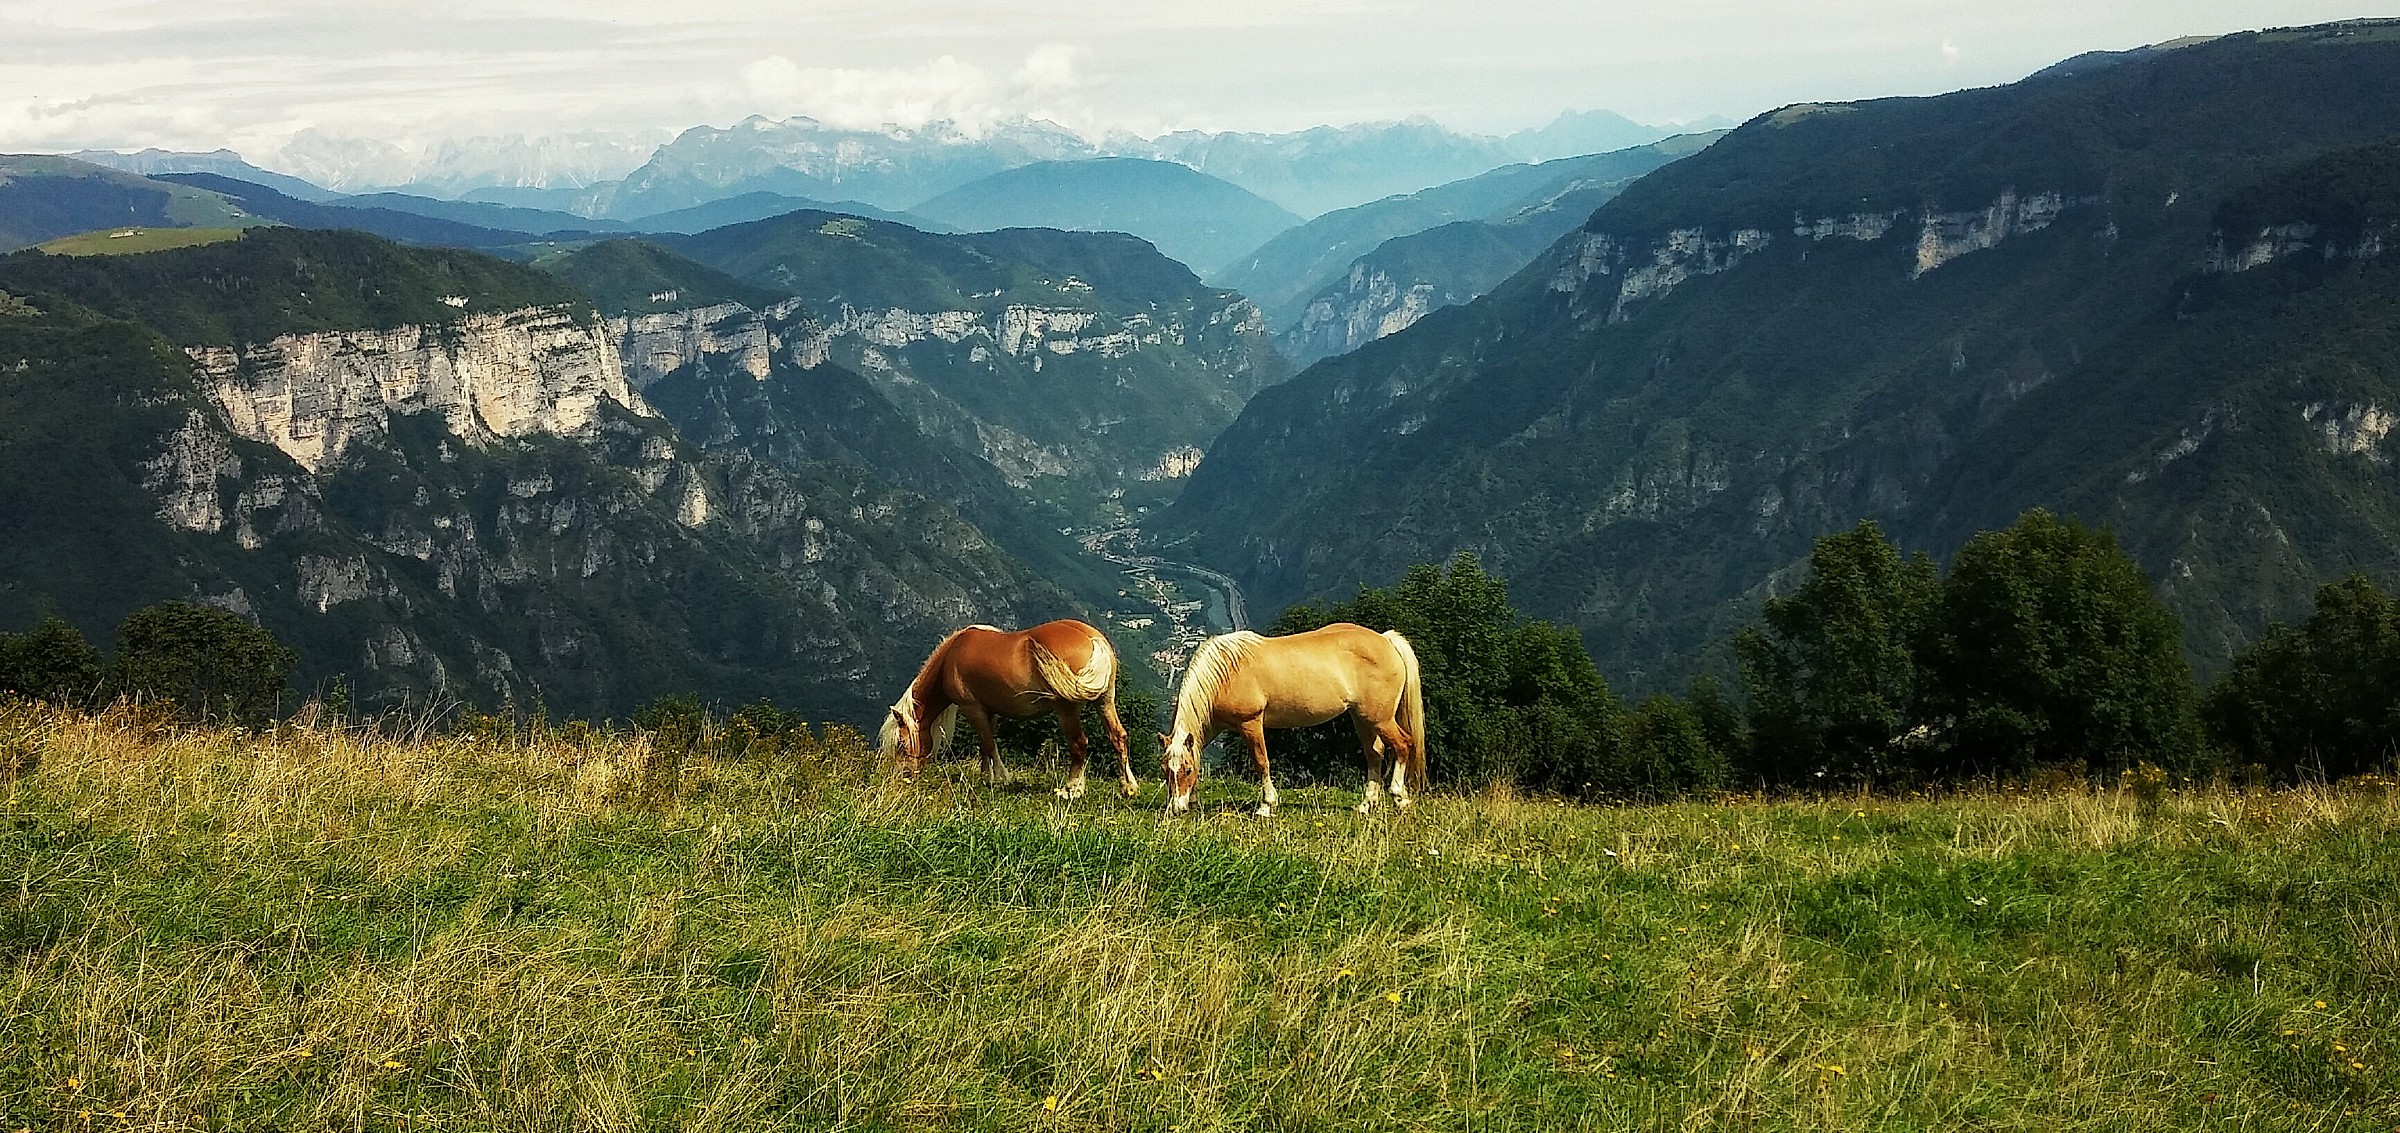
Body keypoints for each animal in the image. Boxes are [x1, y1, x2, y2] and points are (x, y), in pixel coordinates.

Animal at [878, 620, 1135, 799]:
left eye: (900, 743)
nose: (903, 775)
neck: (951, 657)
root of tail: (1093, 639)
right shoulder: (988, 710)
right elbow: (985, 745)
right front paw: (986, 777)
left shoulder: (972, 708)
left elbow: (989, 744)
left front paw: (1001, 778)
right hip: (1105, 700)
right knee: (1118, 737)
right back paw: (1128, 787)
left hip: (1067, 708)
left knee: (1079, 744)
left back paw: (1070, 790)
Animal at [1160, 622, 1426, 817]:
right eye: (1166, 771)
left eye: (1186, 770)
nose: (1177, 809)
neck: (1225, 672)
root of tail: (1386, 640)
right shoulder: (1213, 727)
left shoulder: (1251, 723)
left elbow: (1261, 762)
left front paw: (1266, 806)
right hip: (1362, 719)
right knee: (1375, 755)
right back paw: (1366, 804)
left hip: (1380, 719)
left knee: (1403, 745)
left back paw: (1399, 797)